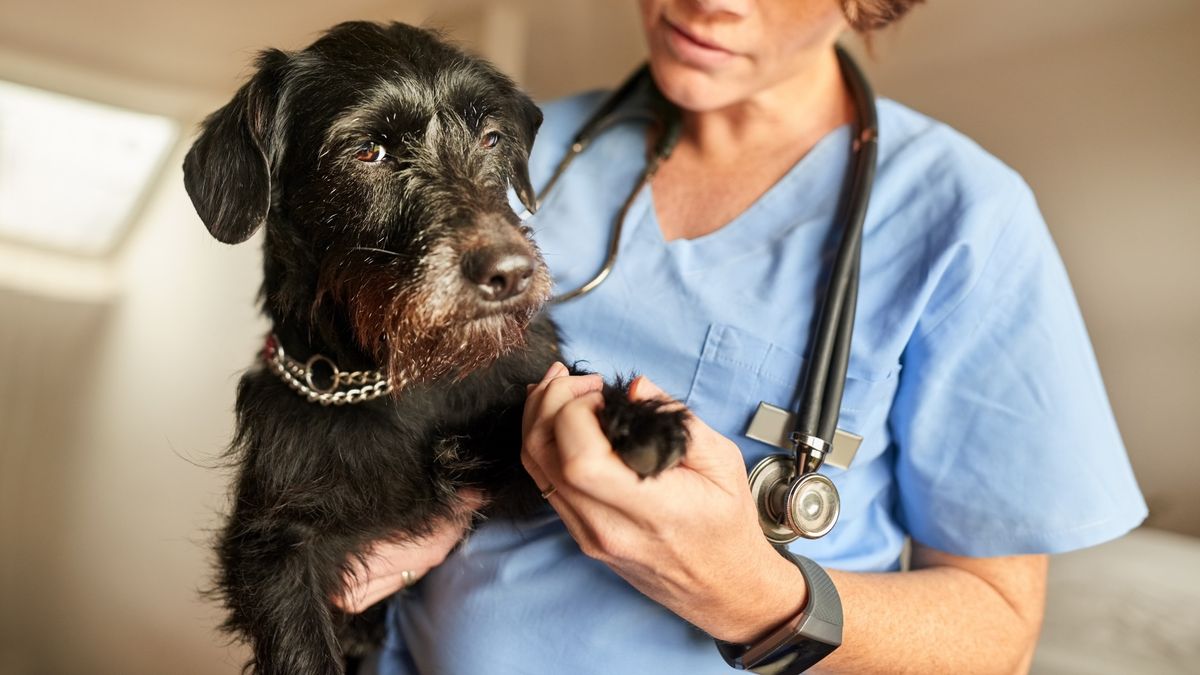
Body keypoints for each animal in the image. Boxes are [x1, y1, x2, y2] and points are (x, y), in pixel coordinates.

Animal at [186, 21, 691, 672]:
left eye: (491, 137)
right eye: (367, 151)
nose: (510, 272)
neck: (396, 378)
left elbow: (551, 401)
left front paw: (630, 418)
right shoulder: (272, 548)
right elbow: (301, 645)